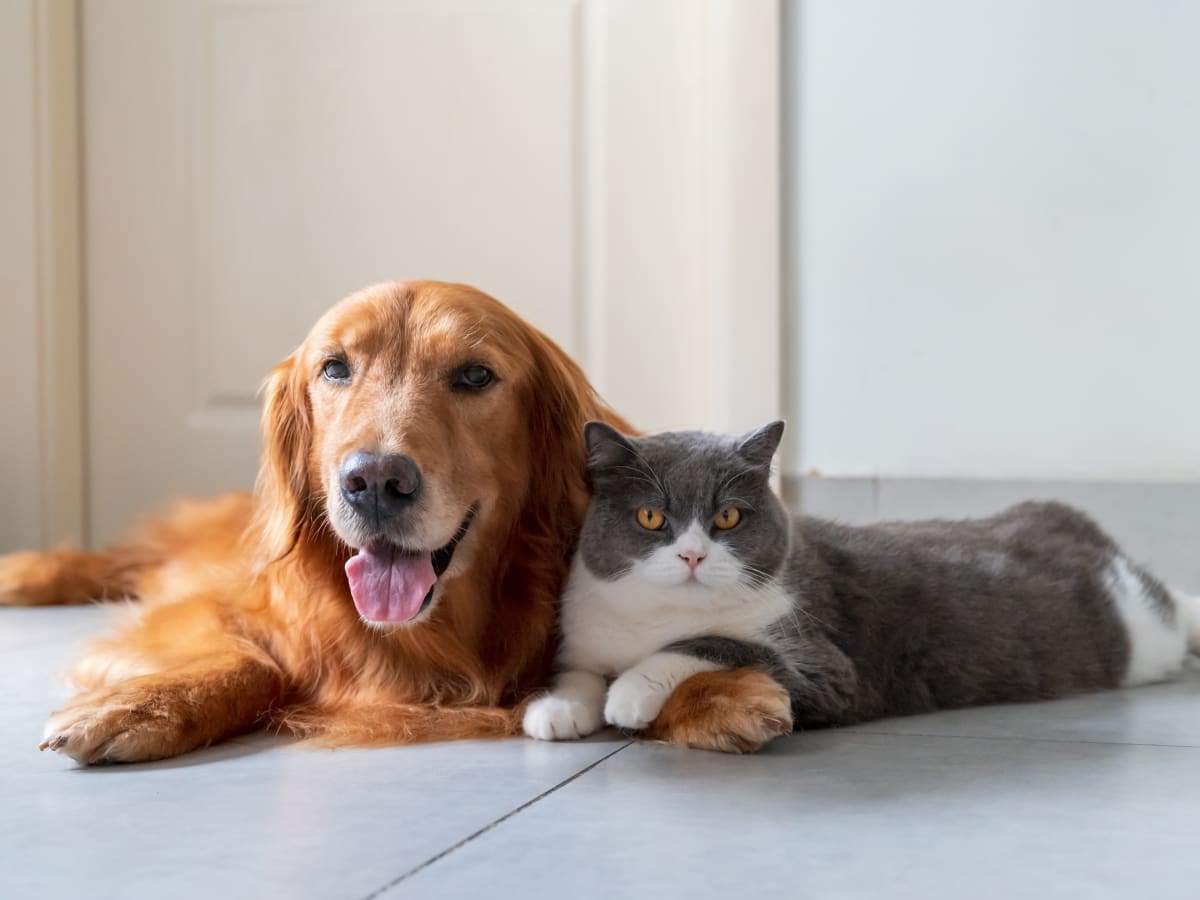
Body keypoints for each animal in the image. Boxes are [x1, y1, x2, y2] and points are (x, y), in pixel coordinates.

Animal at [523, 422, 1200, 748]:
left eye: (728, 518)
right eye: (649, 517)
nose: (692, 554)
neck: (655, 616)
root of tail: (1073, 522)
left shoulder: (826, 666)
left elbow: (717, 643)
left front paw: (630, 693)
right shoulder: (585, 634)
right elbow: (578, 673)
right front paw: (557, 710)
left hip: (1142, 625)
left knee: (1171, 602)